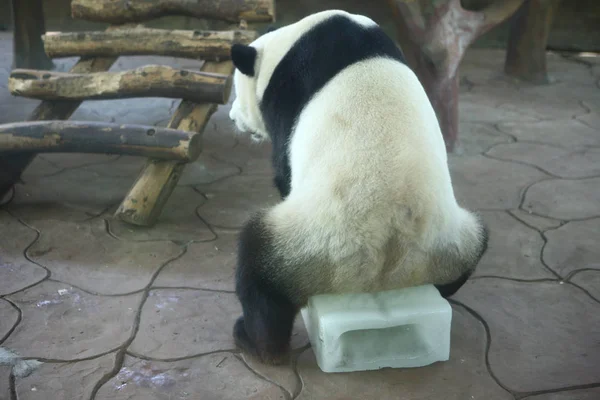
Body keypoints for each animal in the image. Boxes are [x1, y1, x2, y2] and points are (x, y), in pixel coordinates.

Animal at [227, 9, 490, 366]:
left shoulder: (287, 92)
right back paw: (445, 288)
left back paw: (256, 341)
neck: (286, 43)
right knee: (476, 244)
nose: (231, 117)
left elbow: (284, 170)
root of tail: (382, 273)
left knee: (259, 276)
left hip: (310, 244)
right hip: (450, 242)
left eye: (236, 92)